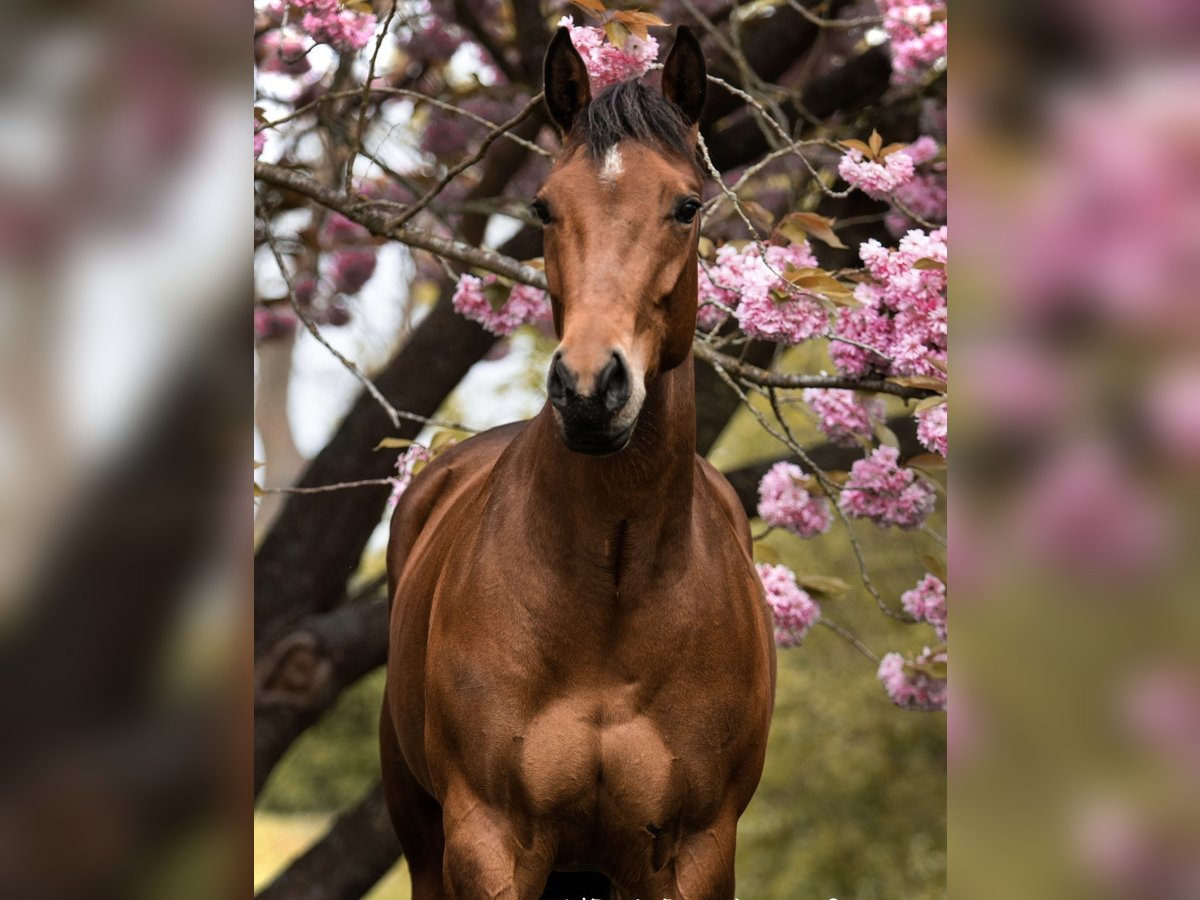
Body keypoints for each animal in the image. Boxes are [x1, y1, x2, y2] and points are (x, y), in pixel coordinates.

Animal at [384, 28, 777, 900]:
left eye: (687, 205)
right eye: (543, 206)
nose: (591, 391)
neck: (612, 591)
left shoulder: (697, 849)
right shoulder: (487, 839)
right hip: (424, 840)